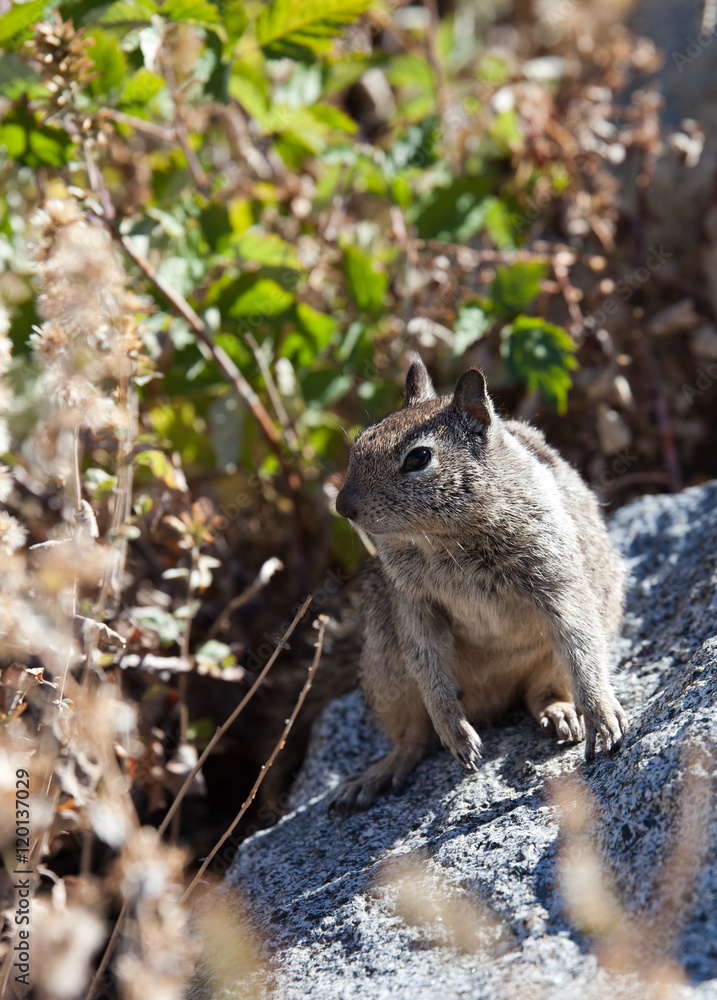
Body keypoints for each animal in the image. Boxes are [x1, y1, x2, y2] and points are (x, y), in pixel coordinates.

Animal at [330, 356, 627, 812]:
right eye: (359, 443)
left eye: (418, 458)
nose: (342, 505)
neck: (446, 539)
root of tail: (492, 703)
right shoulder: (411, 602)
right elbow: (425, 658)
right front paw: (455, 730)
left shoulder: (557, 581)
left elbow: (580, 645)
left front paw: (601, 715)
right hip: (385, 673)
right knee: (412, 738)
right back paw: (376, 774)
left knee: (542, 691)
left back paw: (562, 713)